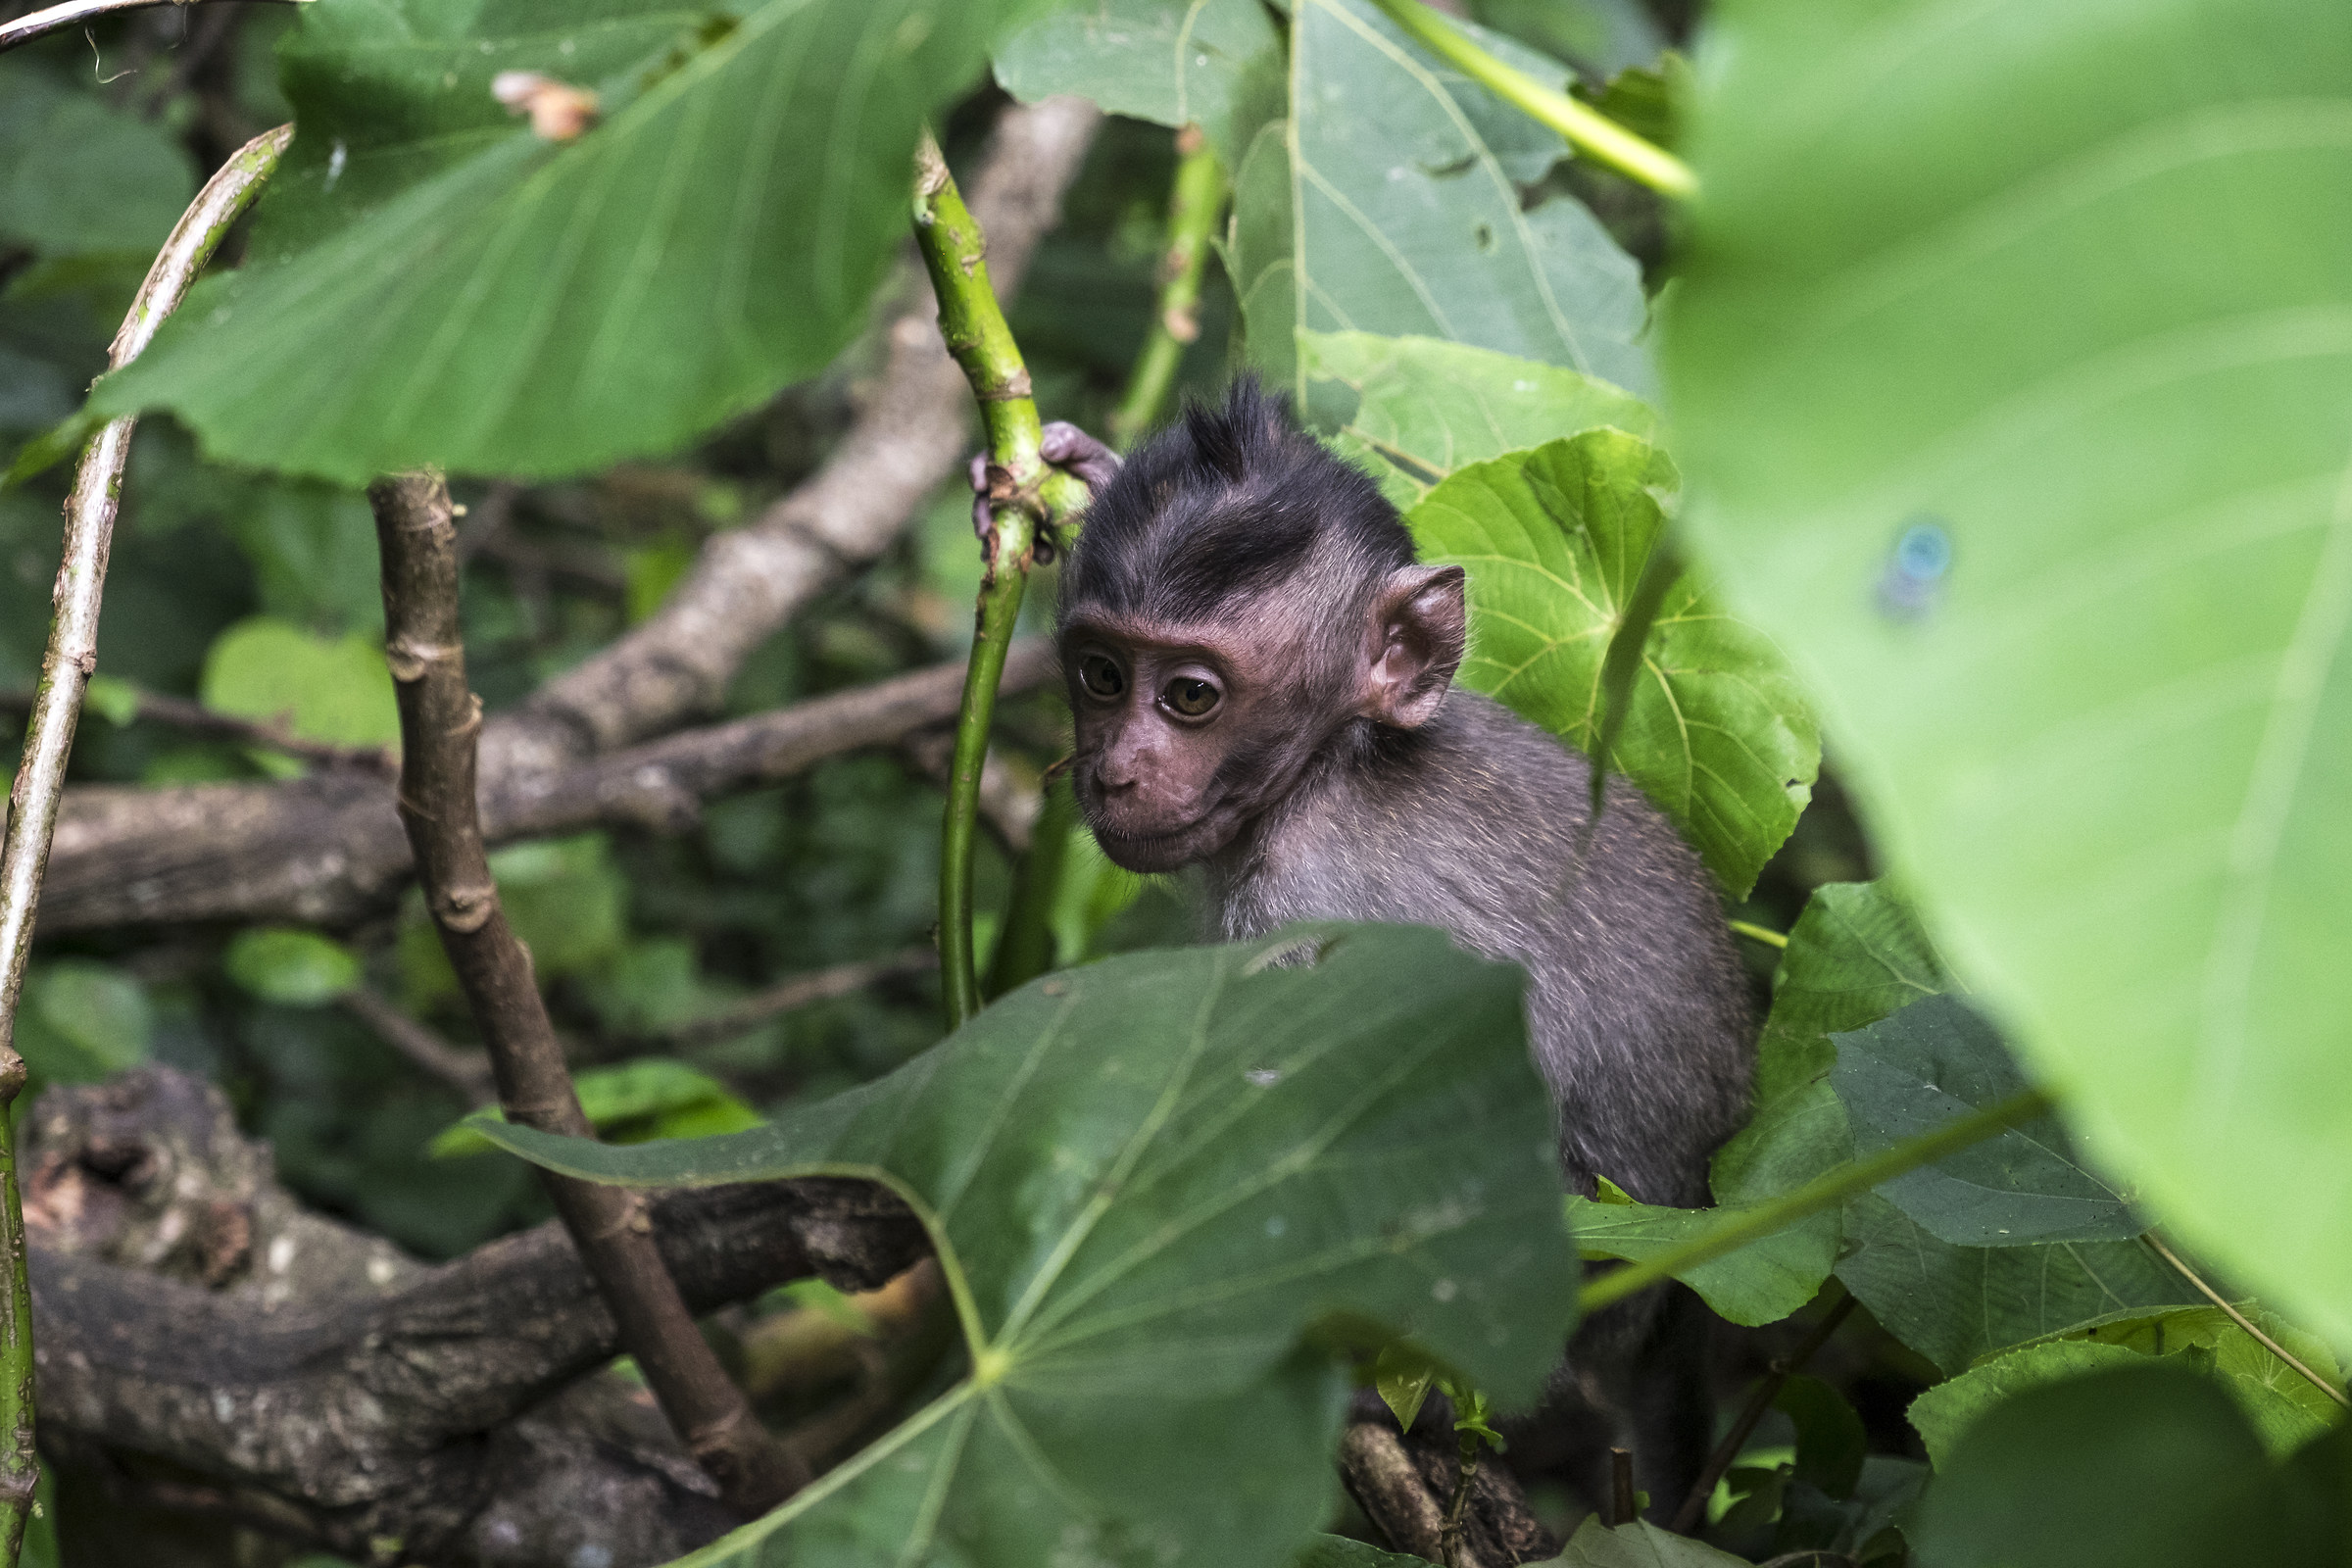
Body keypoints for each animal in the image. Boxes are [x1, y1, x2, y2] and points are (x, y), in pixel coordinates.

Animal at [982, 381, 1755, 1525]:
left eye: (1191, 696)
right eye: (1102, 674)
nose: (1113, 771)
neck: (1328, 766)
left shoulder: (1300, 909)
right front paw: (1083, 463)